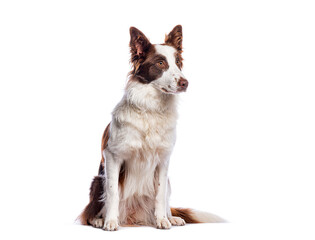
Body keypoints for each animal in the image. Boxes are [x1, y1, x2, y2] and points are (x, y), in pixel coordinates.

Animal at [79, 24, 225, 231]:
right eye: (160, 63)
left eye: (178, 62)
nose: (185, 83)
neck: (152, 109)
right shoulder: (112, 156)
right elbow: (113, 192)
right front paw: (111, 221)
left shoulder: (163, 159)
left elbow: (160, 194)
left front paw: (162, 220)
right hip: (98, 180)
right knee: (91, 209)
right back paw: (99, 219)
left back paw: (171, 217)